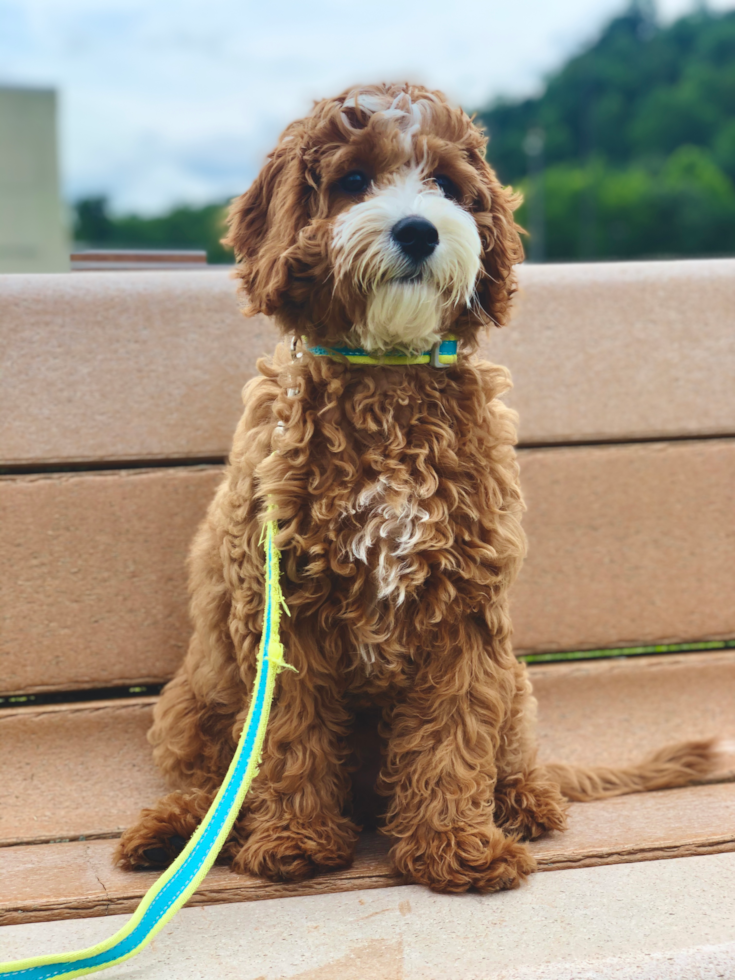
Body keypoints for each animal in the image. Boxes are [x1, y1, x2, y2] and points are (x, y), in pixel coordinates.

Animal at [118, 82, 720, 896]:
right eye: (351, 181)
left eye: (445, 185)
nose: (417, 229)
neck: (389, 378)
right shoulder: (284, 612)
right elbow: (289, 734)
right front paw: (294, 839)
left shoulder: (465, 608)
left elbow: (454, 734)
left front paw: (455, 849)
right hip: (191, 703)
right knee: (214, 782)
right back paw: (177, 831)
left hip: (514, 682)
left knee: (510, 753)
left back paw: (526, 801)